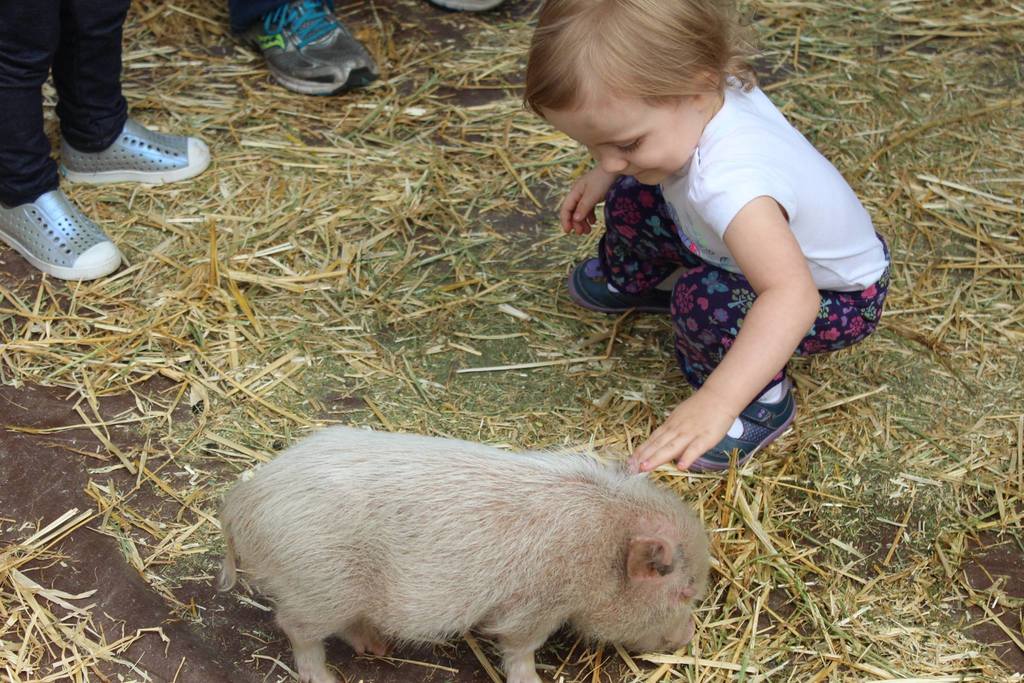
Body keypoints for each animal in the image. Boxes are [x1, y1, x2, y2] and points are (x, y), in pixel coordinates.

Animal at [218, 426, 710, 683]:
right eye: (684, 591)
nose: (688, 635)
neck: (603, 545)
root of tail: (243, 501)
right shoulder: (536, 606)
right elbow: (519, 647)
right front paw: (533, 679)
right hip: (318, 586)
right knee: (294, 628)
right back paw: (327, 677)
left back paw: (378, 648)